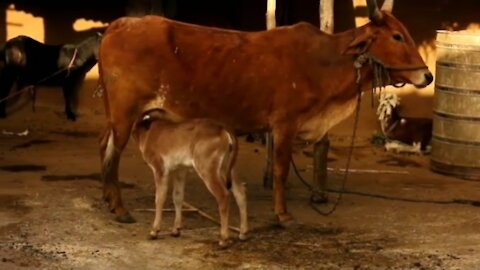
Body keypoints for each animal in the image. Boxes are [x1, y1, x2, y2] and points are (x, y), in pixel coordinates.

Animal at [96, 0, 432, 225]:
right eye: (397, 36)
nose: (427, 76)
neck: (326, 61)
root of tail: (118, 25)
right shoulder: (285, 124)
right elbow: (282, 170)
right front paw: (282, 214)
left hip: (116, 115)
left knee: (104, 147)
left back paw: (109, 201)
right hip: (126, 114)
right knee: (114, 153)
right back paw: (120, 209)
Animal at [131, 109, 248, 247]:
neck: (148, 130)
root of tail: (223, 128)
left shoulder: (160, 169)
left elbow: (159, 198)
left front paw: (154, 231)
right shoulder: (180, 170)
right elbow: (178, 197)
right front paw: (176, 230)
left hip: (208, 169)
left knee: (223, 195)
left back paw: (223, 238)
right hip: (228, 167)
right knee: (240, 191)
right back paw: (243, 233)